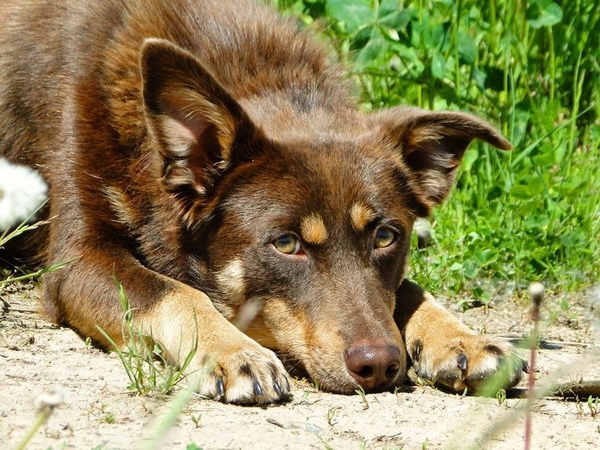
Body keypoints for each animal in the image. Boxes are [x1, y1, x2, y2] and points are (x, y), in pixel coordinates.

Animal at [0, 0, 524, 404]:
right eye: (286, 244)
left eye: (385, 236)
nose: (379, 366)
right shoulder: (76, 262)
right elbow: (174, 292)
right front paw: (232, 351)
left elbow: (408, 289)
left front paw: (460, 336)